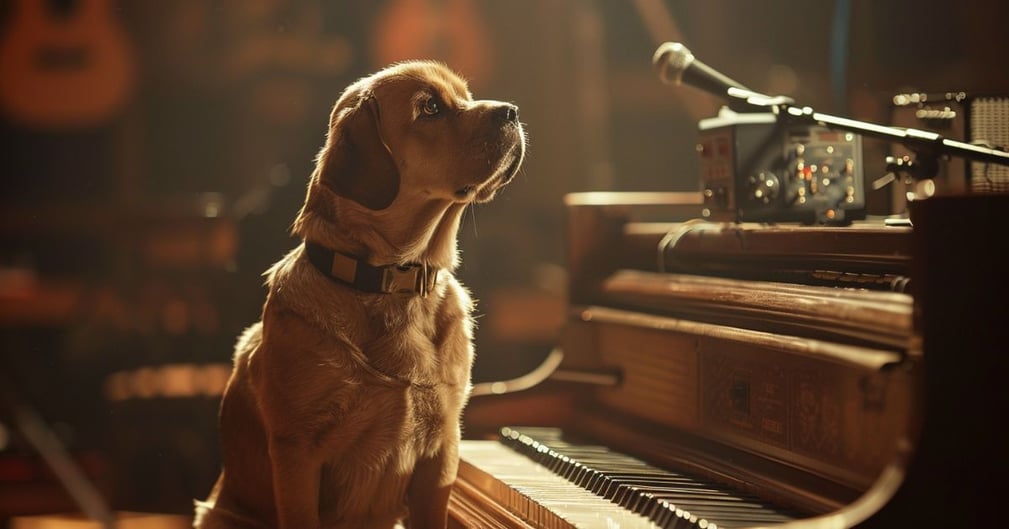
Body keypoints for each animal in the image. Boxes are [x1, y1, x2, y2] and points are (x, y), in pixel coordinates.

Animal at [194, 59, 528, 524]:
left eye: (466, 96)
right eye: (430, 107)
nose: (511, 111)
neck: (392, 282)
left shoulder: (443, 453)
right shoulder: (297, 454)